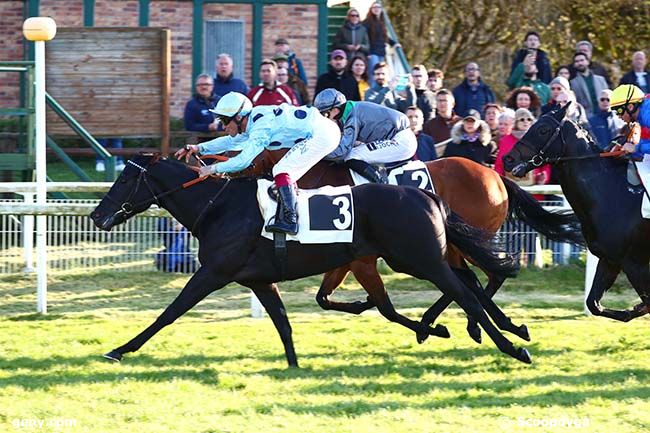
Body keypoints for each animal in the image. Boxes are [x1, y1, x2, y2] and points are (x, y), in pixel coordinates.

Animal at [87, 155, 532, 364]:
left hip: (422, 260)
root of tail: (427, 195)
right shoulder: (259, 279)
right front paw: (293, 364)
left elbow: (170, 313)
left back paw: (508, 344)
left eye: (125, 178)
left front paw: (120, 349)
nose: (96, 215)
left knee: (469, 291)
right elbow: (284, 322)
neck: (220, 207)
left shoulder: (213, 272)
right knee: (471, 285)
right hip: (418, 259)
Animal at [233, 150, 584, 342]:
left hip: (465, 239)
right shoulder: (343, 255)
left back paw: (459, 324)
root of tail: (496, 176)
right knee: (474, 278)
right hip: (456, 244)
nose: (230, 176)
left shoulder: (357, 255)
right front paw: (363, 303)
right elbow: (323, 298)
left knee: (480, 277)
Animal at [502, 103, 648, 320]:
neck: (612, 192)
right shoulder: (610, 260)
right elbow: (594, 304)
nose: (508, 159)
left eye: (543, 129)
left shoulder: (635, 264)